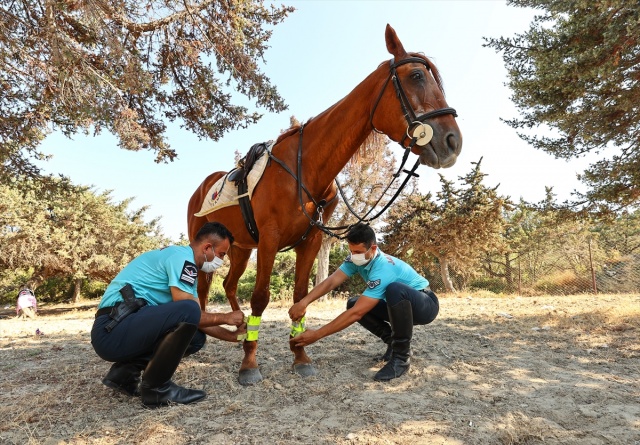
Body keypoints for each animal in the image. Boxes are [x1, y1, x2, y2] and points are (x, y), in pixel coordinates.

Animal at [188, 25, 462, 386]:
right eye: (416, 75)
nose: (452, 141)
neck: (305, 167)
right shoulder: (270, 239)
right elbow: (261, 297)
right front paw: (250, 363)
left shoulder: (310, 240)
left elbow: (300, 297)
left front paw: (299, 354)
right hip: (210, 245)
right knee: (203, 289)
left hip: (239, 249)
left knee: (228, 285)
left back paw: (238, 331)